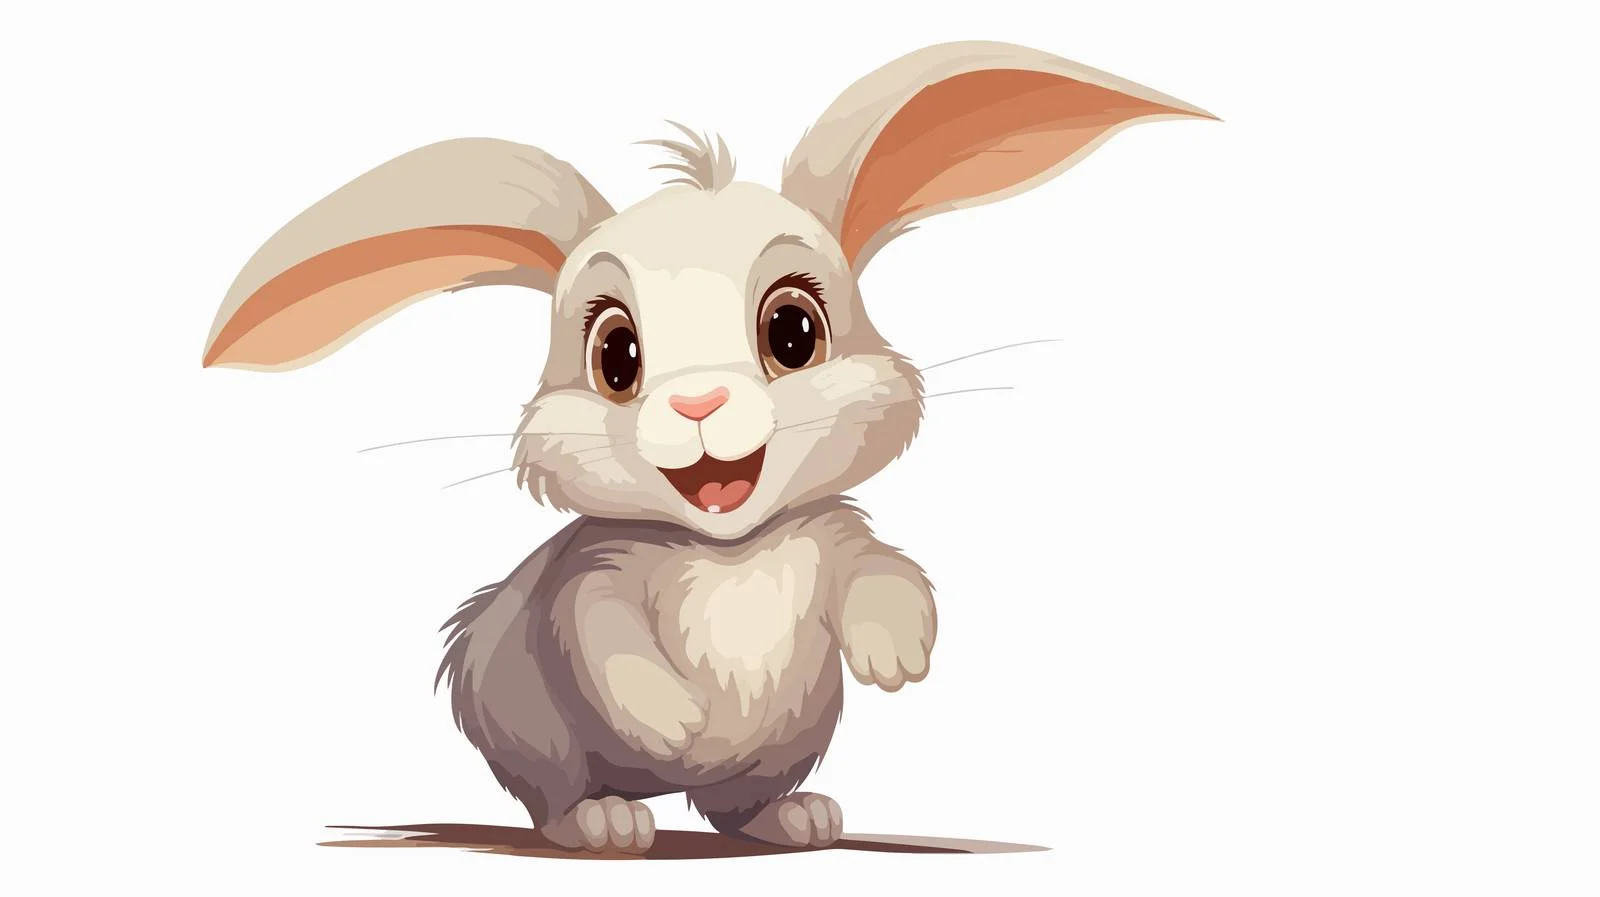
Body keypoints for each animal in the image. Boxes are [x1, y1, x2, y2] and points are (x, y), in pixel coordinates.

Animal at [202, 40, 1211, 853]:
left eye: (794, 331)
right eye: (615, 355)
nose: (699, 400)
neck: (729, 551)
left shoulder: (833, 536)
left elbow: (885, 573)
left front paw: (895, 658)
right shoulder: (594, 570)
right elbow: (598, 632)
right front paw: (677, 716)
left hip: (788, 742)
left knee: (736, 805)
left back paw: (797, 819)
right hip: (526, 725)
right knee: (555, 797)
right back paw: (610, 821)